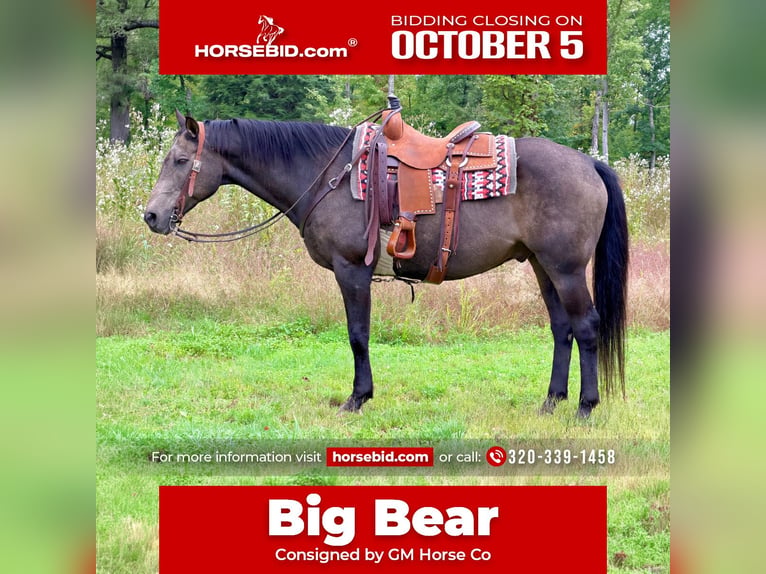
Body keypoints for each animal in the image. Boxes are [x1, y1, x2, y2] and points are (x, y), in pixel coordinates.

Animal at [144, 110, 629, 418]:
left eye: (181, 161)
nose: (151, 215)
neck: (327, 174)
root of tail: (589, 162)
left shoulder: (352, 270)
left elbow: (358, 336)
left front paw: (358, 398)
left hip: (566, 269)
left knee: (586, 327)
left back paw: (585, 406)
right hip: (542, 266)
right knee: (562, 329)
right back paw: (551, 402)